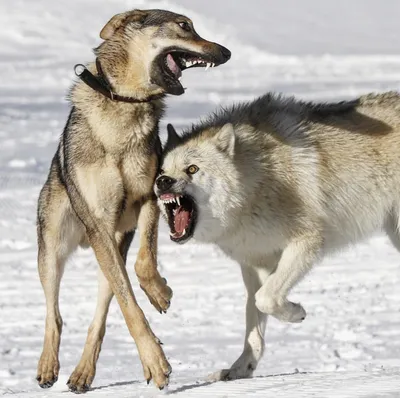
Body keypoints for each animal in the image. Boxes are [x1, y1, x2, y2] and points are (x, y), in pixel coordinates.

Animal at [36, 7, 231, 394]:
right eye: (184, 25)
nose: (226, 51)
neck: (125, 103)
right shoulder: (98, 223)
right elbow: (130, 307)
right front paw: (156, 363)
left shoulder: (148, 198)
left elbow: (145, 263)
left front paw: (160, 293)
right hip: (53, 250)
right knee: (56, 313)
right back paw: (49, 367)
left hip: (109, 252)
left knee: (100, 314)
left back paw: (82, 374)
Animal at [155, 91, 400, 380]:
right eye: (162, 171)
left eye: (192, 169)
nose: (163, 182)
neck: (256, 182)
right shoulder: (255, 263)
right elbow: (254, 325)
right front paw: (240, 370)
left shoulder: (307, 243)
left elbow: (266, 299)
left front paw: (297, 313)